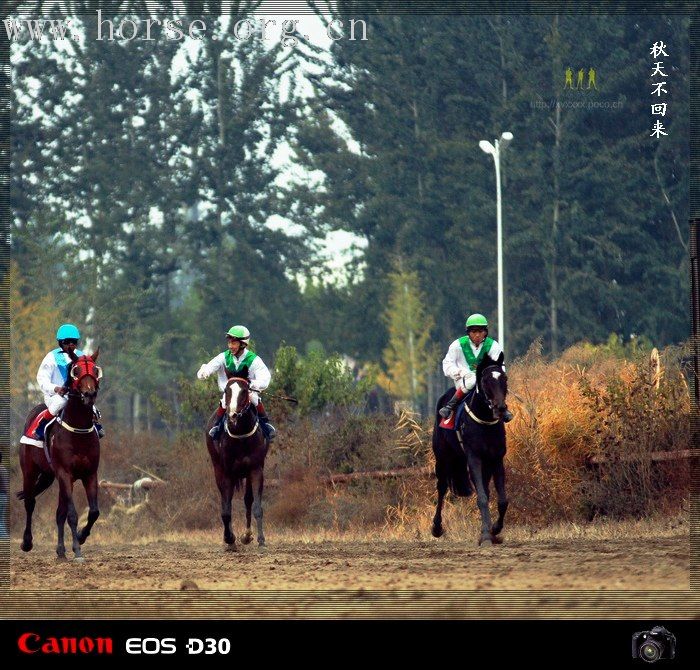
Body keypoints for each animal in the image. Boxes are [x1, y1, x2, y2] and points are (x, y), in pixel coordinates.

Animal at [18, 352, 102, 560]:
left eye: (95, 370)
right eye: (76, 370)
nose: (89, 395)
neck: (78, 431)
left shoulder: (89, 474)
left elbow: (93, 512)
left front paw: (80, 537)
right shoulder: (65, 473)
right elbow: (72, 514)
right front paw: (77, 550)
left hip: (54, 476)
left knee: (59, 512)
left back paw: (61, 550)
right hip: (29, 471)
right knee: (30, 502)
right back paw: (27, 542)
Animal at [206, 378, 270, 552]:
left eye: (245, 391)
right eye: (226, 390)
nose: (233, 414)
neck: (241, 436)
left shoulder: (255, 469)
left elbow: (256, 506)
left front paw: (260, 540)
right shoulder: (226, 472)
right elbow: (226, 509)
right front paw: (229, 539)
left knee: (248, 500)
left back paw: (247, 535)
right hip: (218, 469)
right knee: (225, 501)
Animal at [432, 362, 508, 544]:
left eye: (504, 378)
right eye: (486, 381)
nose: (500, 408)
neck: (485, 422)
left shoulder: (496, 458)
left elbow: (502, 500)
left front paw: (494, 529)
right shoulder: (474, 458)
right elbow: (482, 498)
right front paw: (486, 535)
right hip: (442, 457)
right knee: (442, 487)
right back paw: (436, 528)